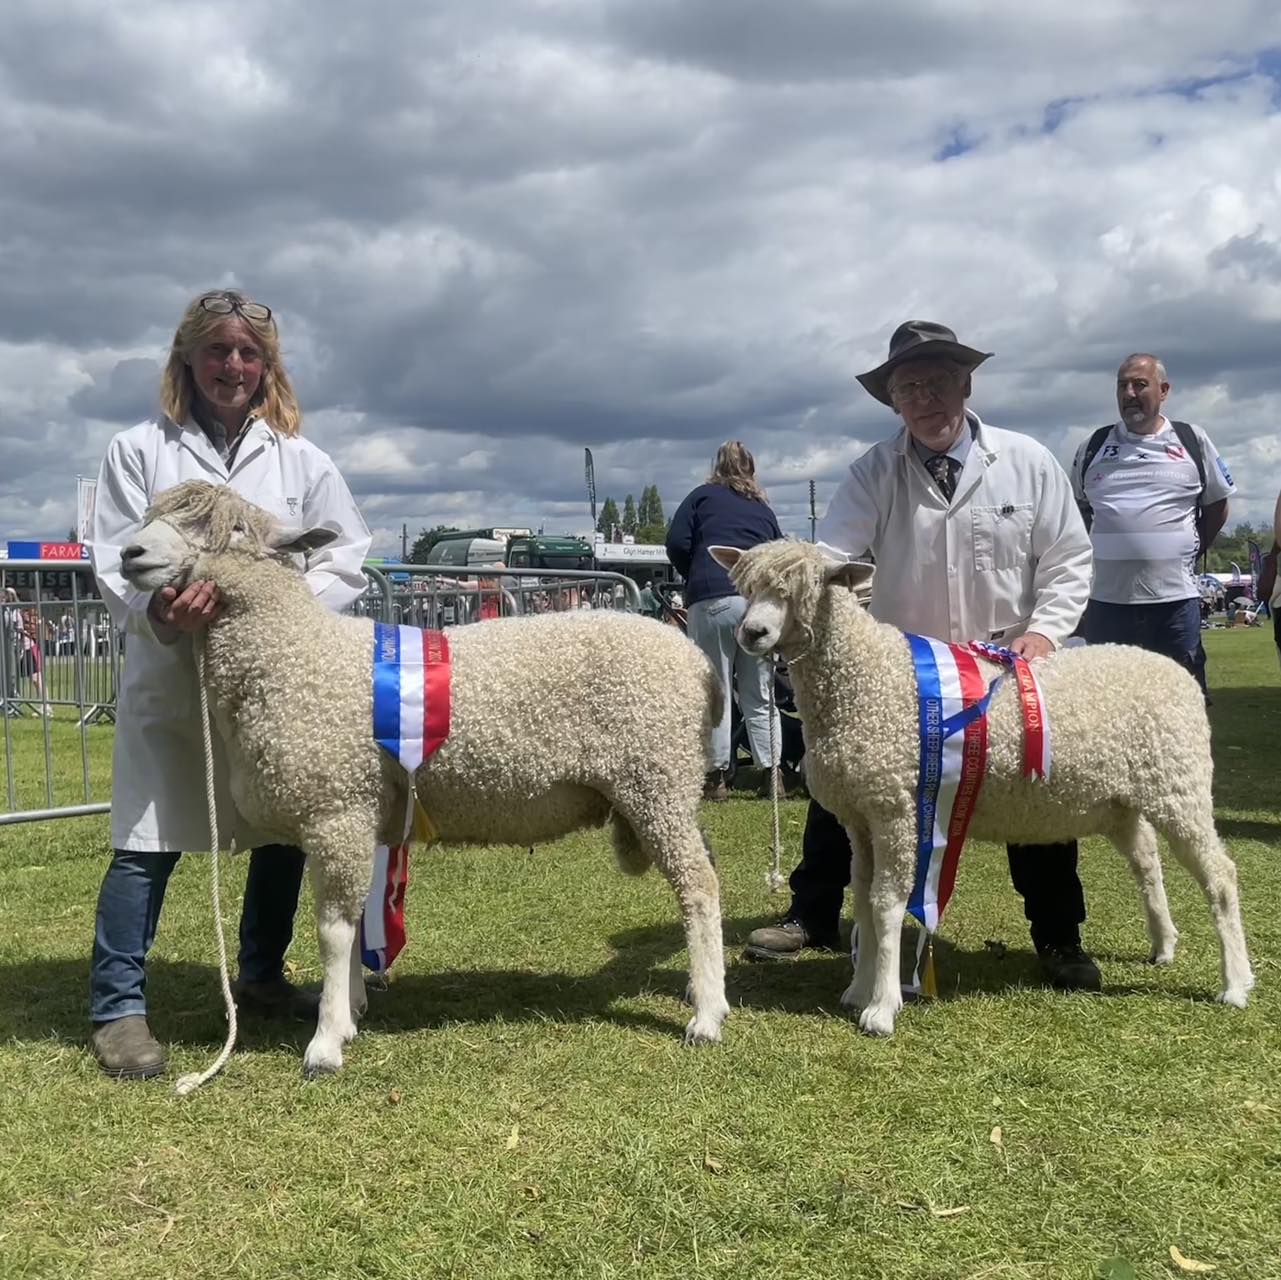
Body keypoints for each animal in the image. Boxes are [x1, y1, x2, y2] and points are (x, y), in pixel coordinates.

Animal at [120, 480, 730, 1075]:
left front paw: (326, 1042)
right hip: (669, 789)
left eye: (236, 530)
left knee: (698, 886)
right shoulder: (358, 814)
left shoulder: (336, 809)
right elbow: (355, 922)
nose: (130, 554)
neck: (294, 654)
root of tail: (700, 665)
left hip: (655, 781)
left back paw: (705, 1019)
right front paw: (351, 1010)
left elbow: (332, 931)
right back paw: (713, 997)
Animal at [710, 539, 1253, 1037]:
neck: (864, 678)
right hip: (1124, 800)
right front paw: (859, 989)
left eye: (807, 590)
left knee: (1221, 876)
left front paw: (882, 1007)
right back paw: (1164, 945)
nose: (752, 633)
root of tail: (1175, 672)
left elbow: (885, 904)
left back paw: (1236, 983)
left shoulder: (897, 811)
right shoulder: (860, 817)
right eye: (750, 588)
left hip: (1180, 783)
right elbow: (862, 899)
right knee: (1149, 865)